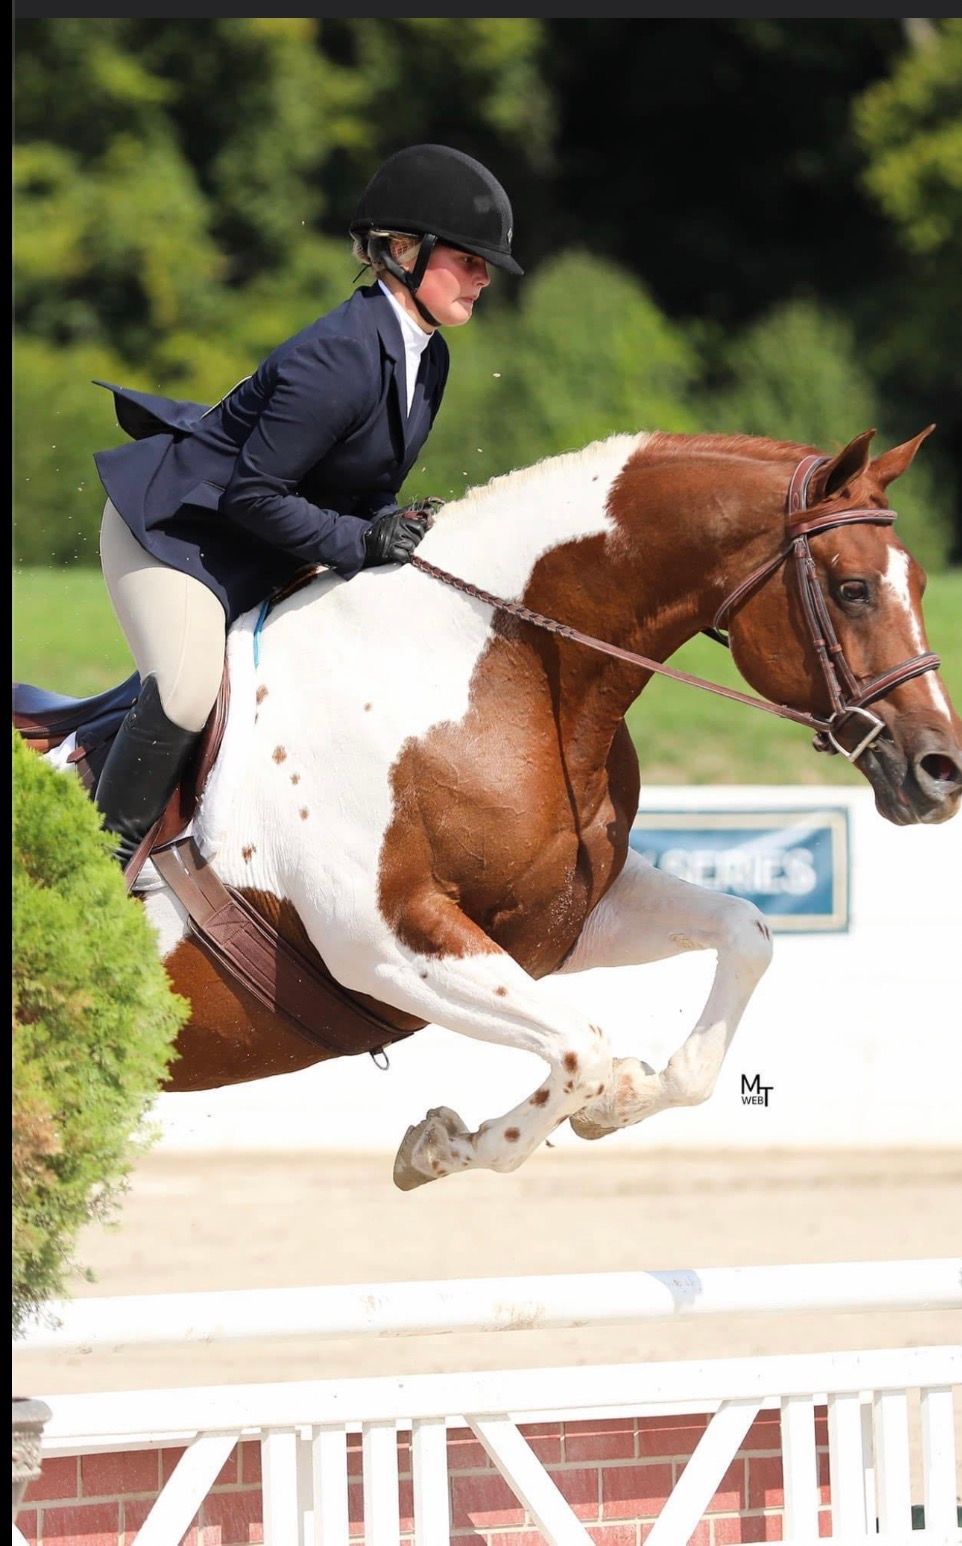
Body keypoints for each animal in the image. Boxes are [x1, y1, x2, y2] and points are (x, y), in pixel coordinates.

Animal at [19, 426, 962, 1188]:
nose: (940, 771)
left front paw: (620, 1102)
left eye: (918, 581)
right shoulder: (385, 943)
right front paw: (439, 1147)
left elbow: (745, 935)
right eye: (851, 589)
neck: (495, 671)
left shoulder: (565, 919)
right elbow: (580, 1047)